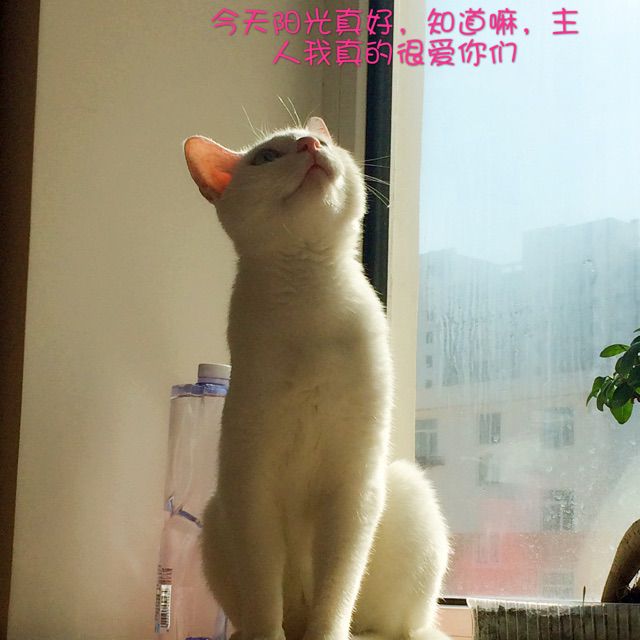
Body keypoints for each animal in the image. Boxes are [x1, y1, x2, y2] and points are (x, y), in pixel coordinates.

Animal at [183, 117, 450, 640]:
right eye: (267, 157)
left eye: (323, 142)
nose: (310, 144)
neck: (309, 295)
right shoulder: (254, 485)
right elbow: (265, 595)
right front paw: (269, 635)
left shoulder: (352, 488)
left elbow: (337, 588)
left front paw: (325, 633)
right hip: (219, 512)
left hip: (406, 490)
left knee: (396, 625)